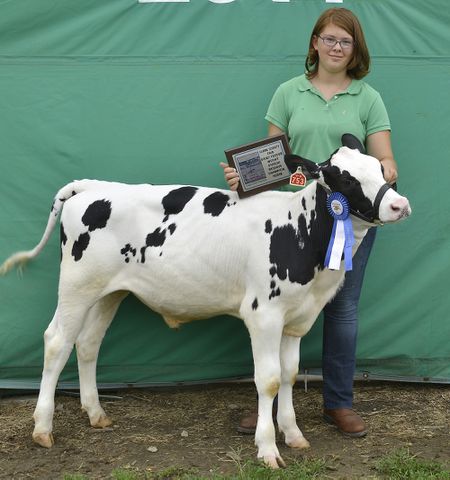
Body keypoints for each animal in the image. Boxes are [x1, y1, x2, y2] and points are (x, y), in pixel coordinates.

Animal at [0, 137, 410, 466]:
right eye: (345, 178)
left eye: (379, 167)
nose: (399, 205)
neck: (299, 229)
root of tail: (94, 186)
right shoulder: (263, 314)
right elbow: (268, 380)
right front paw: (267, 449)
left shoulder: (297, 317)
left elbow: (290, 374)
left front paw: (293, 435)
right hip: (76, 285)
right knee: (57, 342)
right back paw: (42, 428)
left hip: (109, 291)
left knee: (87, 343)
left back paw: (96, 413)